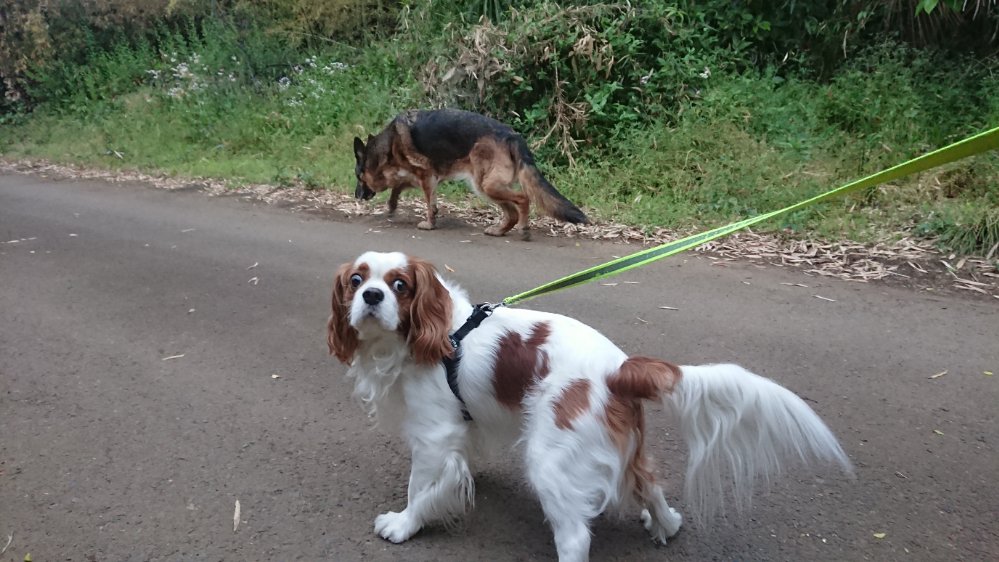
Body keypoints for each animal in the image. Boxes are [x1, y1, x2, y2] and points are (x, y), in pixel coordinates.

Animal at [326, 251, 853, 562]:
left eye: (399, 285)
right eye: (356, 280)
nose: (370, 295)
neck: (437, 335)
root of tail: (618, 368)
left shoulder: (433, 434)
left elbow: (420, 488)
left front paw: (403, 525)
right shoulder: (463, 423)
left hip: (551, 458)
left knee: (576, 537)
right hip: (622, 448)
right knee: (649, 483)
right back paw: (666, 526)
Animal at [352, 109, 588, 240]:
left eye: (358, 177)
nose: (356, 195)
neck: (386, 149)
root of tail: (512, 135)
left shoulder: (426, 177)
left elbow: (429, 204)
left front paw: (429, 224)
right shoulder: (417, 177)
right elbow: (397, 188)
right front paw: (392, 206)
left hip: (486, 185)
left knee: (523, 198)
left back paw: (524, 228)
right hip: (485, 187)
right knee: (511, 212)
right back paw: (500, 231)